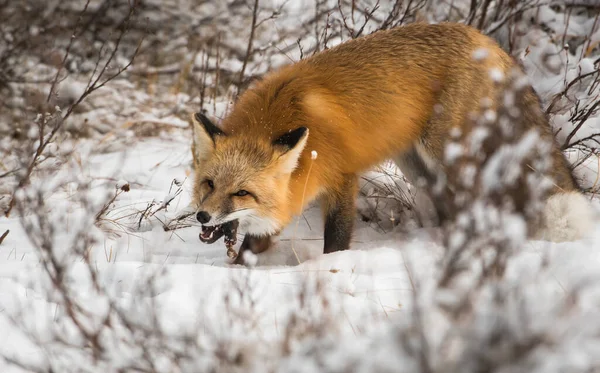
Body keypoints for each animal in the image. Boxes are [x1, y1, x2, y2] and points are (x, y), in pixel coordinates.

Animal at [191, 21, 592, 264]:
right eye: (208, 184)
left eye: (242, 192)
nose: (202, 216)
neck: (278, 116)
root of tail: (488, 41)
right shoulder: (296, 187)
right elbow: (255, 241)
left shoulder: (341, 177)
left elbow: (336, 239)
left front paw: (332, 269)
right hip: (420, 167)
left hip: (448, 153)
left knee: (478, 202)